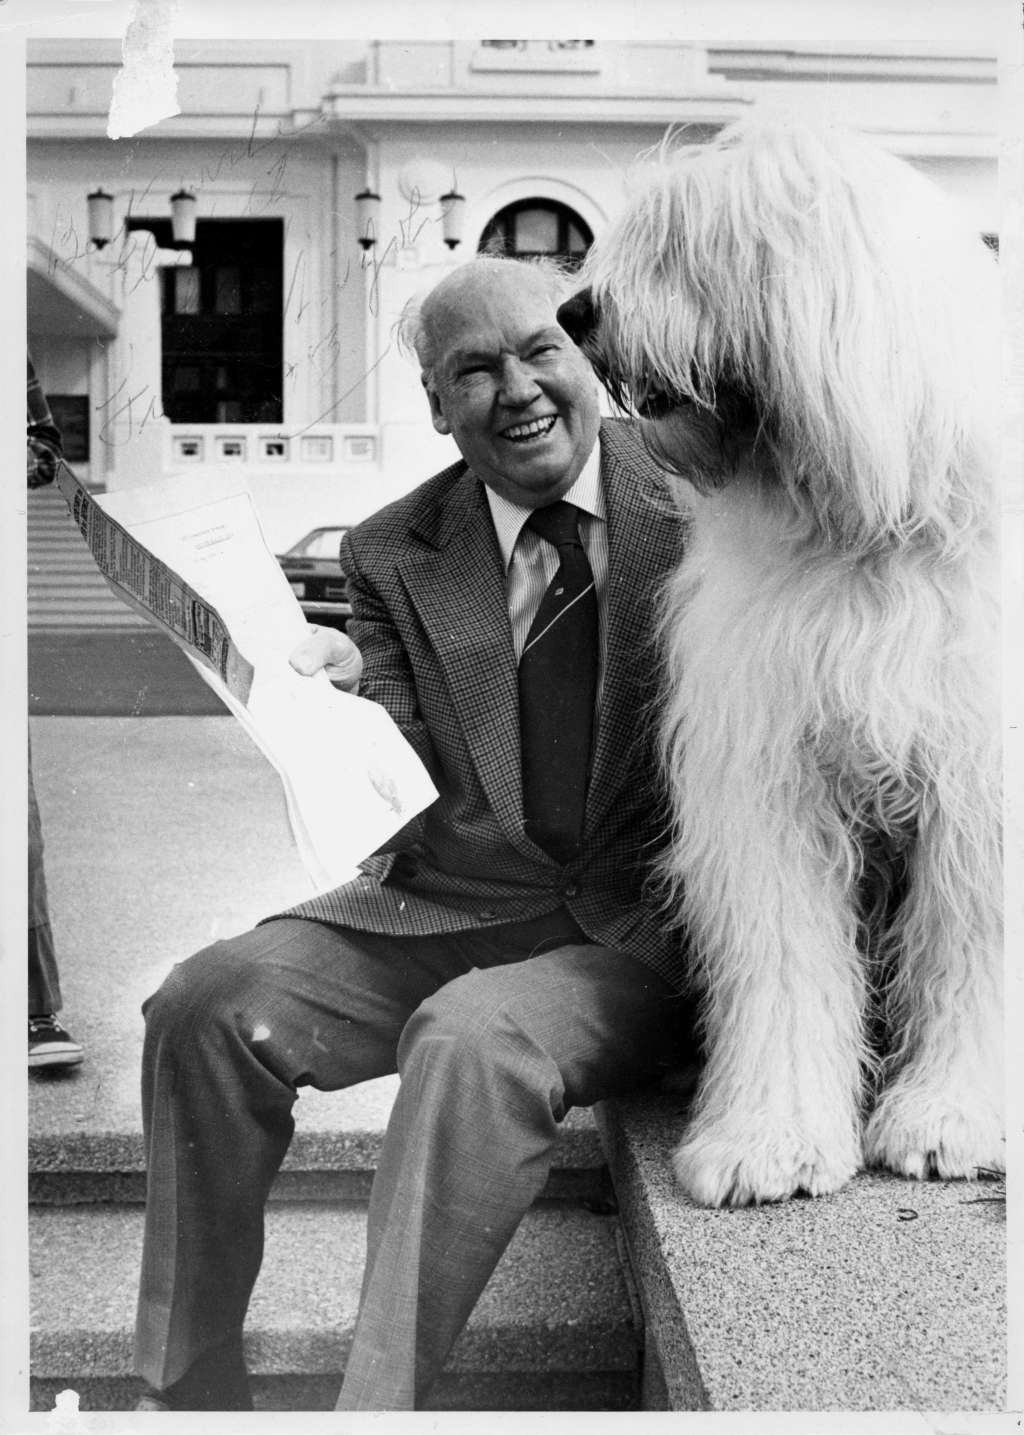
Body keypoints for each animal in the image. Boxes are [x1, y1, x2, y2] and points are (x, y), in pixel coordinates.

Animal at [559, 117, 998, 1205]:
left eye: (691, 241)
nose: (573, 309)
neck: (865, 528)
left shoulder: (980, 788)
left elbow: (974, 945)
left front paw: (952, 1118)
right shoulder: (767, 776)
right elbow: (785, 952)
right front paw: (770, 1139)